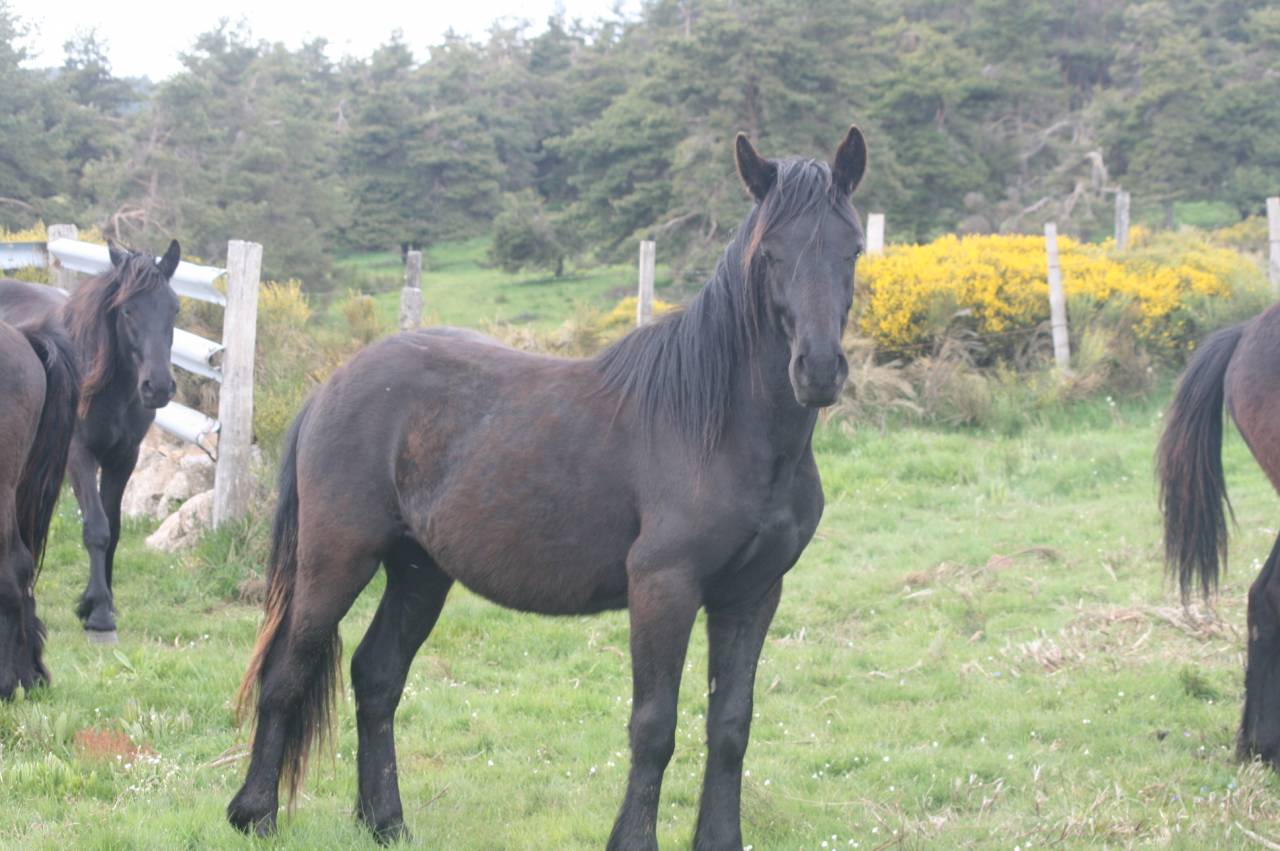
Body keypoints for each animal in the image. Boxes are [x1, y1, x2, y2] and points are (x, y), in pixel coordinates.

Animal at [0, 240, 182, 640]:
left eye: (174, 308)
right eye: (127, 309)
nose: (158, 386)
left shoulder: (124, 458)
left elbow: (113, 528)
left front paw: (99, 603)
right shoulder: (79, 456)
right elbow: (97, 527)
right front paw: (98, 613)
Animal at [228, 126, 867, 848]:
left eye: (853, 247)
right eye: (771, 252)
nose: (818, 369)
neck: (723, 426)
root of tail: (331, 385)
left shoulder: (753, 594)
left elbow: (730, 725)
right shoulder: (665, 586)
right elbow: (655, 725)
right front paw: (631, 839)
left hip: (419, 571)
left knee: (377, 675)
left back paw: (385, 819)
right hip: (336, 559)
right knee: (286, 671)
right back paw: (255, 813)